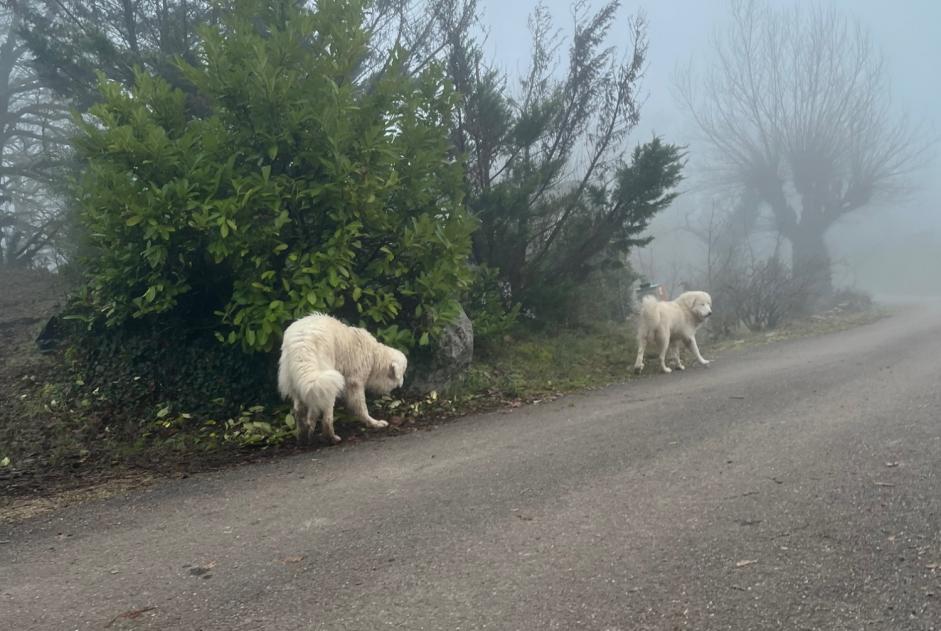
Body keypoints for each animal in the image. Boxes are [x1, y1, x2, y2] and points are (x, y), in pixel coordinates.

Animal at [280, 312, 410, 442]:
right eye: (403, 373)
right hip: (328, 382)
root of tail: (303, 340)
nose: (402, 385)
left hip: (303, 382)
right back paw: (331, 438)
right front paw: (374, 423)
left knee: (299, 410)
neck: (374, 356)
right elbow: (361, 408)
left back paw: (302, 437)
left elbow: (313, 412)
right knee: (327, 418)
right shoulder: (355, 383)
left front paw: (310, 428)